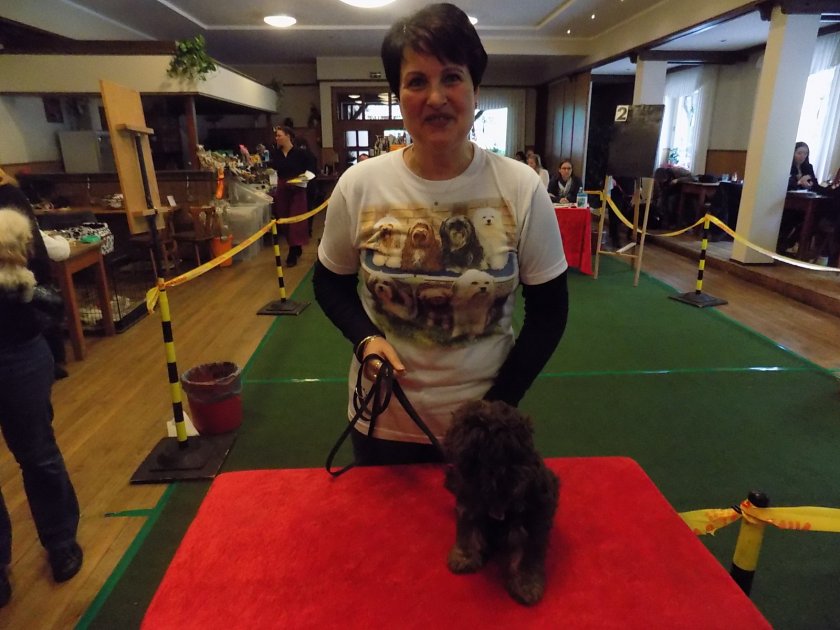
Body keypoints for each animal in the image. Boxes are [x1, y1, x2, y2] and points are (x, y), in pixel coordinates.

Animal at [443, 400, 559, 605]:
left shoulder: (534, 524)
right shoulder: (469, 504)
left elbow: (528, 557)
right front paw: (464, 557)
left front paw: (526, 584)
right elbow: (467, 532)